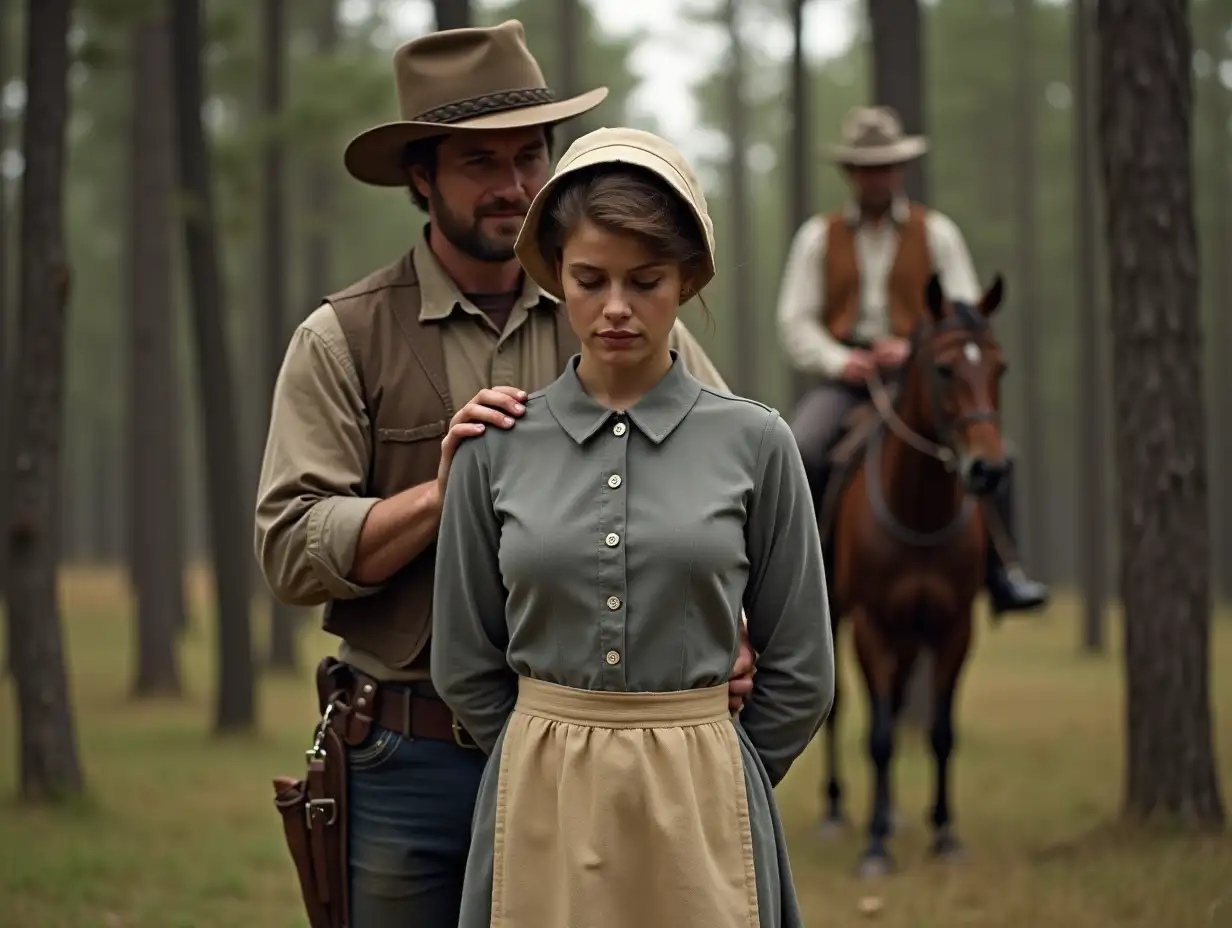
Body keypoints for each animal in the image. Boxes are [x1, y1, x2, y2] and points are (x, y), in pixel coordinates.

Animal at [822, 269, 1005, 877]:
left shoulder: (953, 627)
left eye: (1000, 367)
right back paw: (837, 810)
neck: (918, 511)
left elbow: (941, 732)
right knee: (839, 709)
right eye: (945, 369)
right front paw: (875, 846)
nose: (989, 468)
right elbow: (878, 735)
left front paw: (944, 835)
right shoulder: (872, 625)